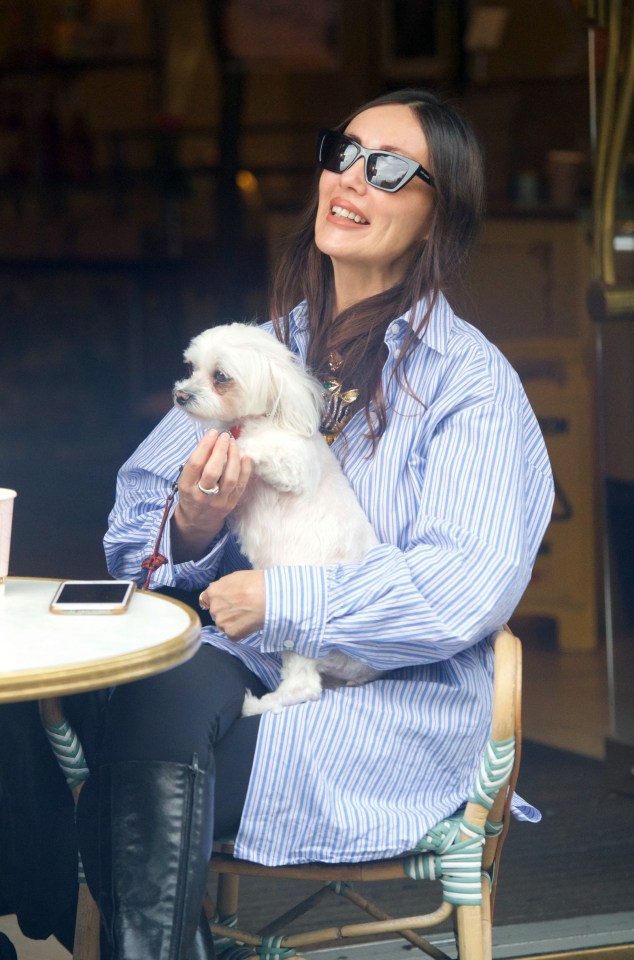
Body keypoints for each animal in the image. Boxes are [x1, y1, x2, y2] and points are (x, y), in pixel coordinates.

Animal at [172, 320, 380, 712]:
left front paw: (234, 445)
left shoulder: (292, 464)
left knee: (305, 687)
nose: (180, 395)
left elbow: (250, 449)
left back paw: (260, 704)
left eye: (220, 376)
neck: (259, 418)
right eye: (191, 368)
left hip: (297, 630)